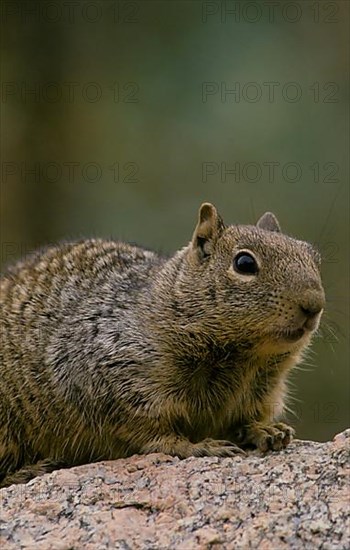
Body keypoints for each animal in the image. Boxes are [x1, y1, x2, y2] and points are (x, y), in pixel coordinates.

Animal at [0, 205, 326, 490]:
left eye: (314, 257)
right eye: (244, 263)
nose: (314, 304)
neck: (245, 357)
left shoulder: (263, 388)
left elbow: (246, 418)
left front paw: (266, 430)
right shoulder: (117, 381)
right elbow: (152, 433)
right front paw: (198, 446)